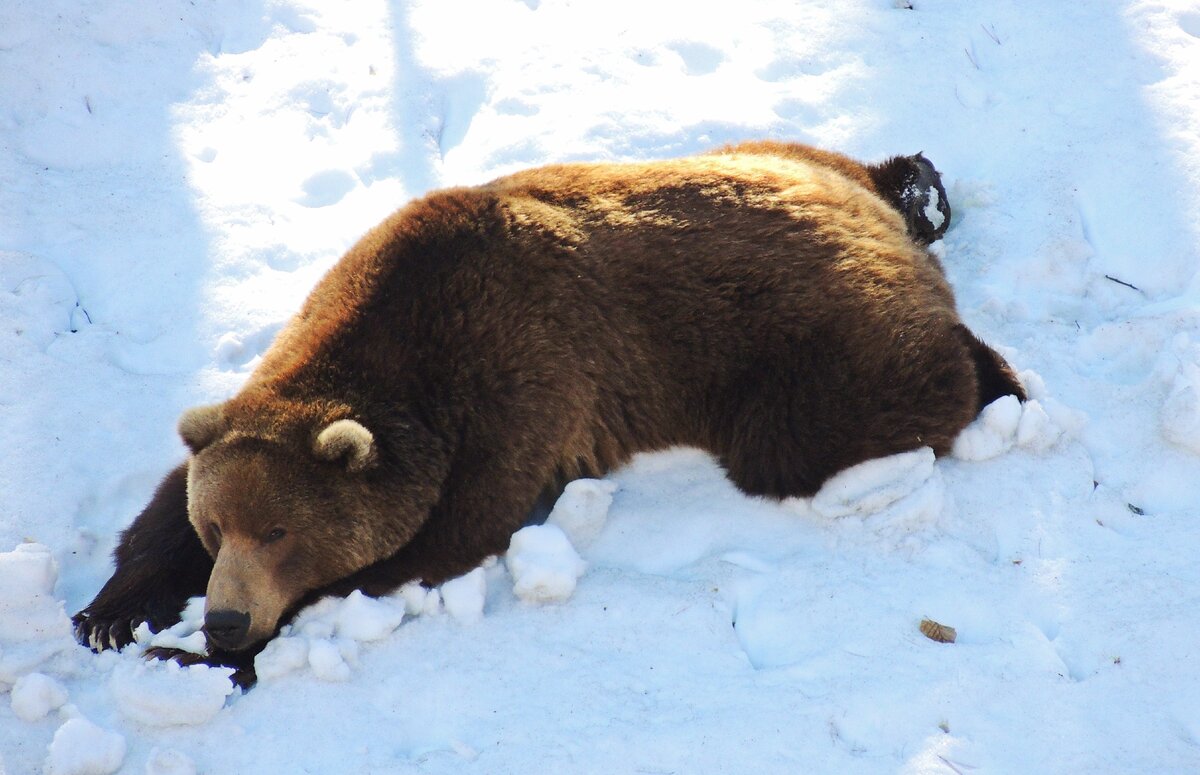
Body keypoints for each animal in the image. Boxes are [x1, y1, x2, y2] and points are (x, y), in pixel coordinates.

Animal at [70, 143, 1017, 686]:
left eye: (279, 532)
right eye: (219, 524)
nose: (226, 617)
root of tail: (869, 215)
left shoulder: (517, 387)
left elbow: (430, 545)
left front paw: (188, 651)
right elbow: (157, 509)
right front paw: (111, 612)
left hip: (791, 349)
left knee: (840, 414)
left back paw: (989, 366)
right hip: (779, 151)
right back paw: (920, 188)